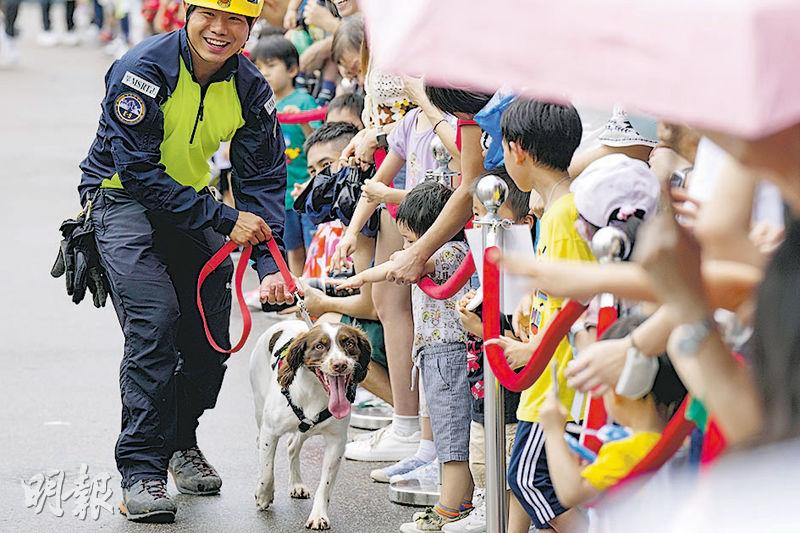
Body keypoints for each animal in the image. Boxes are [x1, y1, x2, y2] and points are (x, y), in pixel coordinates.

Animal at [248, 318, 370, 528]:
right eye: (319, 346)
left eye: (349, 343)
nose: (340, 365)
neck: (316, 393)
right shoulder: (270, 431)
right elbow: (267, 470)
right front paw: (264, 495)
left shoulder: (337, 442)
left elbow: (325, 485)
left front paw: (319, 515)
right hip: (259, 406)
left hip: (304, 429)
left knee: (292, 447)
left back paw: (296, 484)